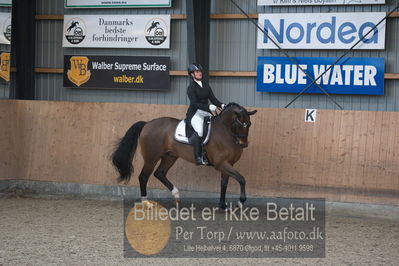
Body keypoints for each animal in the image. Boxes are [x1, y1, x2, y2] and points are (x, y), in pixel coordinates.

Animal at [111, 103, 258, 209]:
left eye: (249, 124)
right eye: (240, 123)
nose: (243, 144)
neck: (226, 131)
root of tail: (147, 123)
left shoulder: (228, 164)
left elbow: (224, 183)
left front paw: (223, 205)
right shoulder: (221, 163)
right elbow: (241, 179)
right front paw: (240, 202)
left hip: (170, 157)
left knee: (160, 173)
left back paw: (176, 195)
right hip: (151, 158)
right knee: (143, 177)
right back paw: (146, 202)